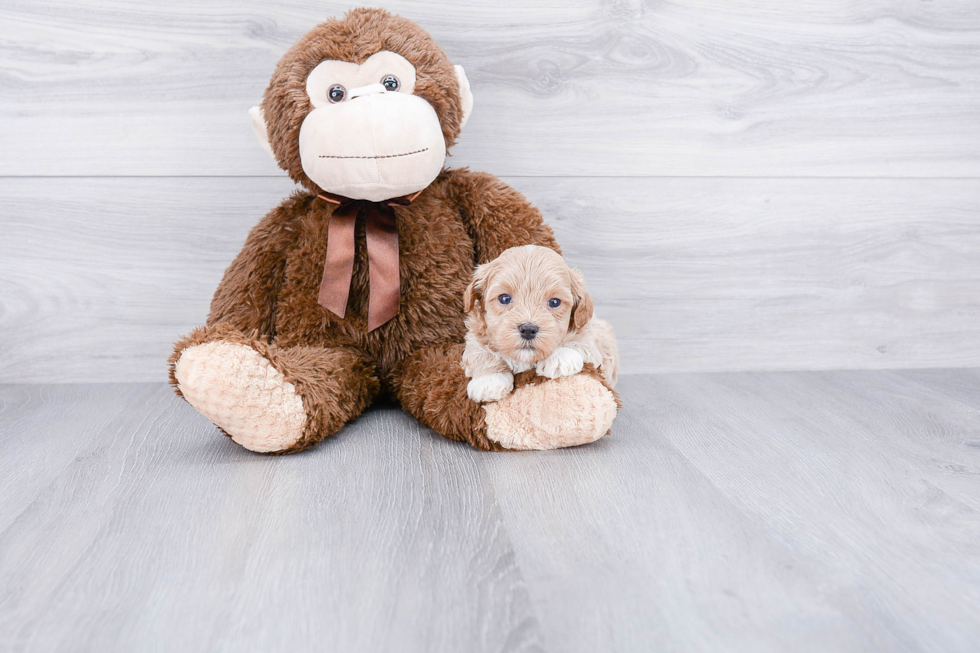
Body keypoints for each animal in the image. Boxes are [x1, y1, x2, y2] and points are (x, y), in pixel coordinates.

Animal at [462, 244, 616, 402]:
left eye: (554, 302)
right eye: (504, 298)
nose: (528, 329)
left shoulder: (594, 341)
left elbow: (580, 340)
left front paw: (560, 357)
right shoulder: (476, 332)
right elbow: (479, 351)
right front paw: (489, 379)